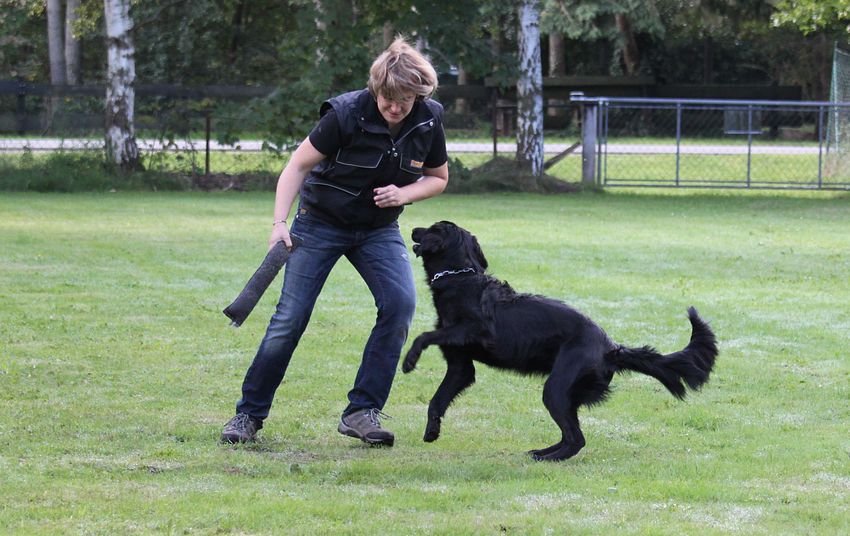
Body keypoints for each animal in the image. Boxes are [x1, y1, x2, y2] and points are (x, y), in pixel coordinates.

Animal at [403, 221, 718, 461]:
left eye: (433, 228)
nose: (413, 229)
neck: (461, 279)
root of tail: (610, 348)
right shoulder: (461, 368)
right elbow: (437, 400)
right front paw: (432, 431)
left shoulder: (475, 329)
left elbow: (425, 334)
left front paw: (409, 360)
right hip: (564, 394)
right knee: (570, 435)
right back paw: (542, 452)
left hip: (555, 389)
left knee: (576, 439)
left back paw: (548, 458)